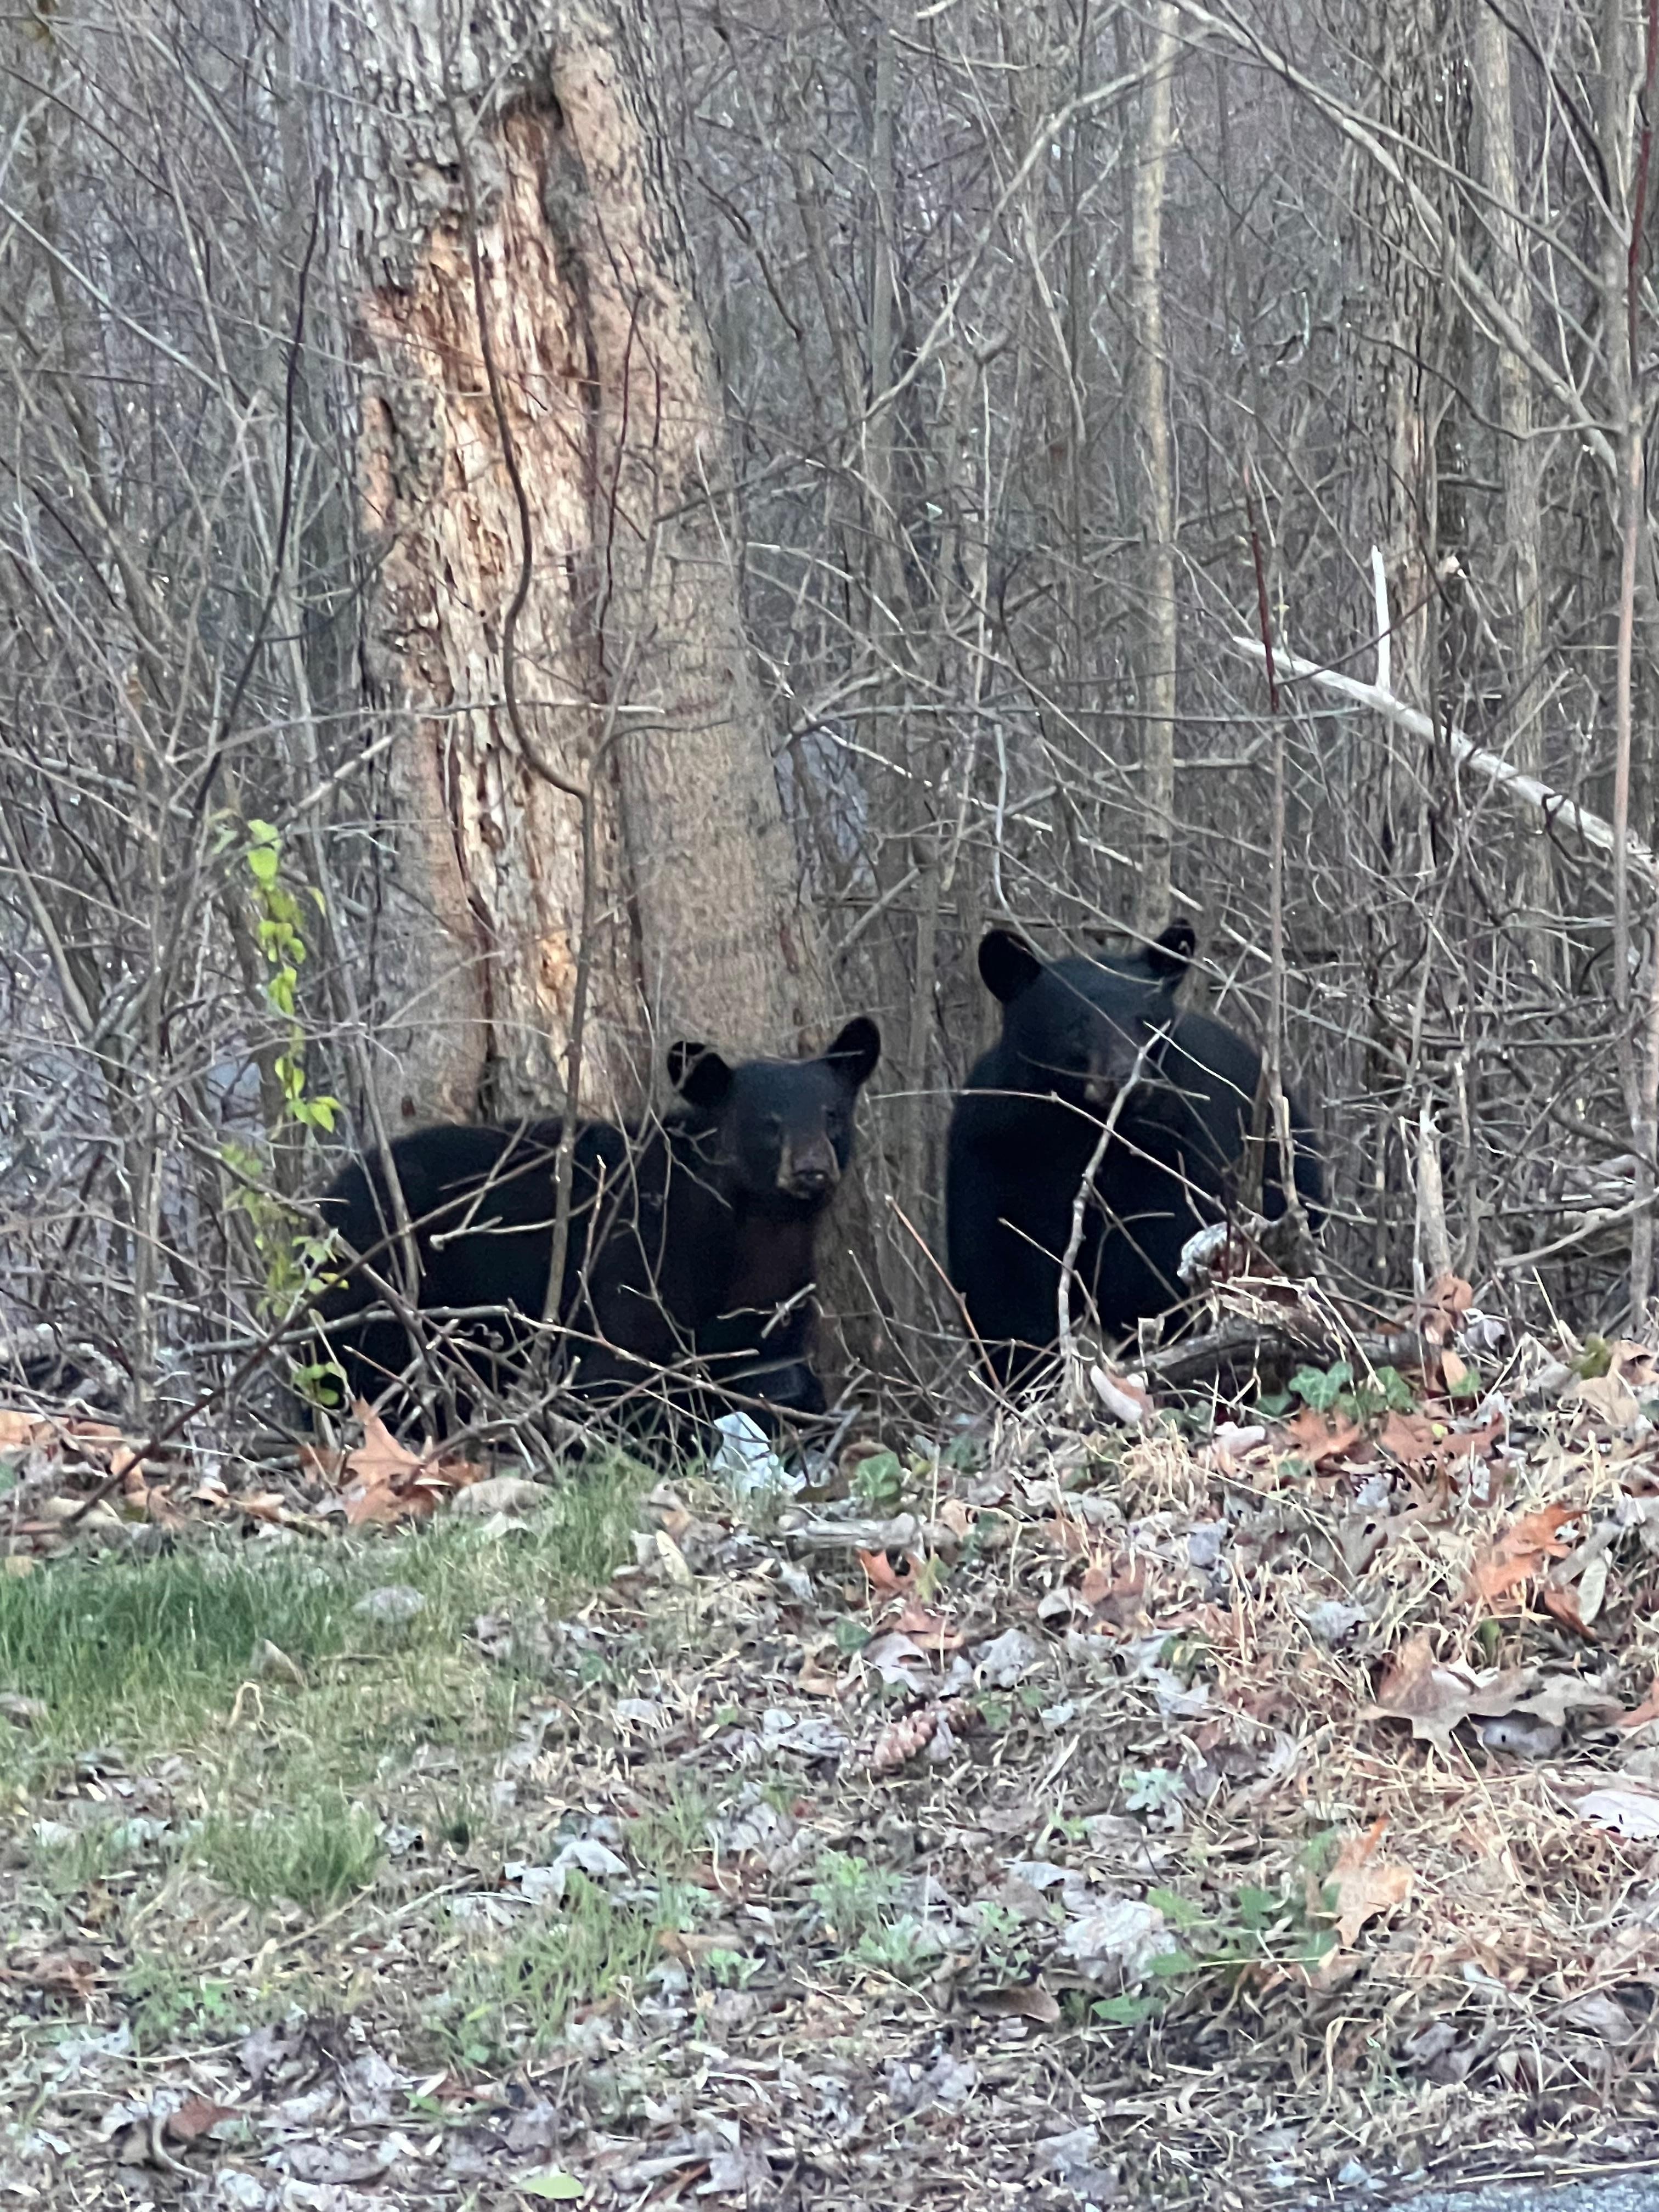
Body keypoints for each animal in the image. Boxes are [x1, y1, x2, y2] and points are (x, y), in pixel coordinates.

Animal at [308, 1017, 881, 1438]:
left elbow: (769, 1366)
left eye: (832, 1114)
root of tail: (331, 1194)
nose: (811, 1168)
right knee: (354, 1357)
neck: (755, 1229)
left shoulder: (780, 1293)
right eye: (768, 1123)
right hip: (380, 1277)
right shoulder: (642, 1255)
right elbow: (616, 1367)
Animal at [945, 922, 1322, 1389]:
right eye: (1077, 1026)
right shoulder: (993, 1156)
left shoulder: (1174, 1155)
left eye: (1148, 1022)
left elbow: (1152, 1269)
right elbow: (1003, 1286)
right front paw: (1031, 1382)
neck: (1083, 1131)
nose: (1130, 1075)